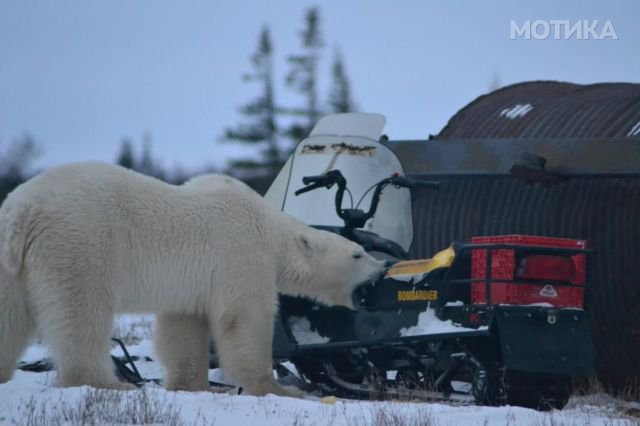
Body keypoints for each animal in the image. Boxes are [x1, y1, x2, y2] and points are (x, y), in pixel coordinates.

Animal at [0, 161, 384, 394]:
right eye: (357, 253)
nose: (381, 268)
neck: (268, 228)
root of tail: (24, 208)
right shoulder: (240, 253)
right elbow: (245, 319)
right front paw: (277, 388)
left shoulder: (193, 284)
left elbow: (182, 327)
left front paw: (193, 385)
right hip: (79, 243)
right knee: (81, 312)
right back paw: (111, 384)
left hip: (10, 261)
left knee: (10, 317)